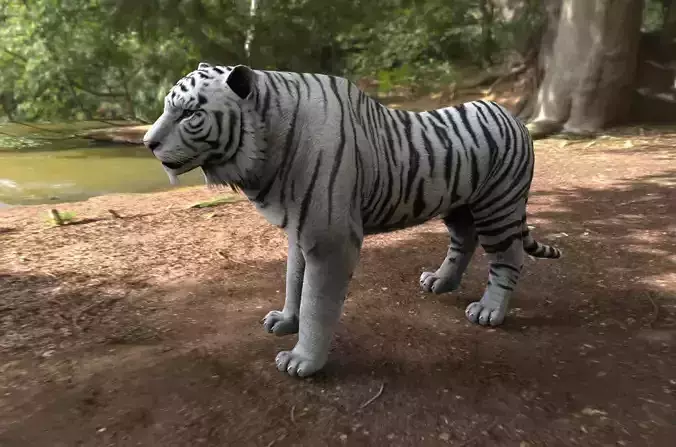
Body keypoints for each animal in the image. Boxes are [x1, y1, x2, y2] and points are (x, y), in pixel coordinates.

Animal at [143, 62, 562, 378]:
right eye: (167, 106)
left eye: (190, 113)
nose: (148, 143)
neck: (266, 145)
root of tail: (514, 116)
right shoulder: (298, 233)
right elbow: (294, 281)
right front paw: (285, 321)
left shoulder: (330, 241)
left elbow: (317, 302)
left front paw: (302, 361)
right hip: (459, 205)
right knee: (464, 239)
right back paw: (440, 282)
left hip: (498, 206)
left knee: (509, 257)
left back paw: (490, 310)